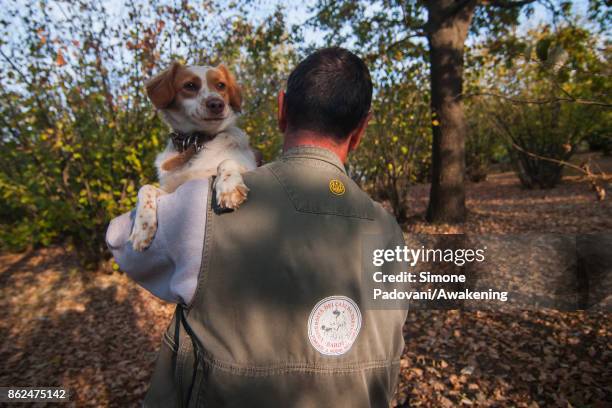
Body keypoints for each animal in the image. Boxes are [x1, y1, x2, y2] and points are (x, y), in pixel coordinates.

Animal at [129, 61, 256, 252]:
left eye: (221, 85)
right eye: (189, 85)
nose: (217, 104)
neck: (196, 141)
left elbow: (225, 161)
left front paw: (228, 186)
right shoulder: (170, 190)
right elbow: (145, 188)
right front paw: (143, 228)